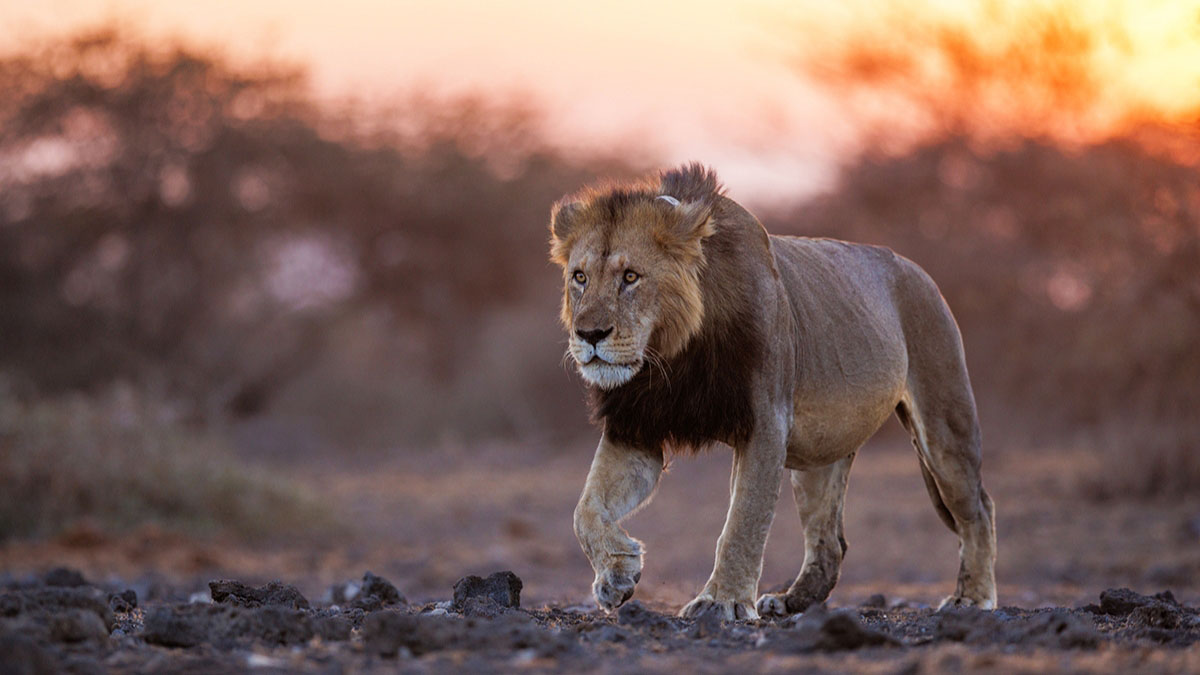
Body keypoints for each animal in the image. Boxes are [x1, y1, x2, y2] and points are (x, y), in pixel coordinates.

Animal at [549, 162, 998, 614]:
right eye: (580, 277)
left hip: (944, 426)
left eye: (631, 276)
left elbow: (743, 521)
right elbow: (585, 509)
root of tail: (921, 272)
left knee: (978, 510)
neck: (673, 358)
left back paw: (972, 598)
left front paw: (722, 601)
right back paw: (792, 600)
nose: (589, 334)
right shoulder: (637, 426)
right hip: (818, 455)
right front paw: (616, 575)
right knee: (830, 540)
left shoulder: (765, 421)